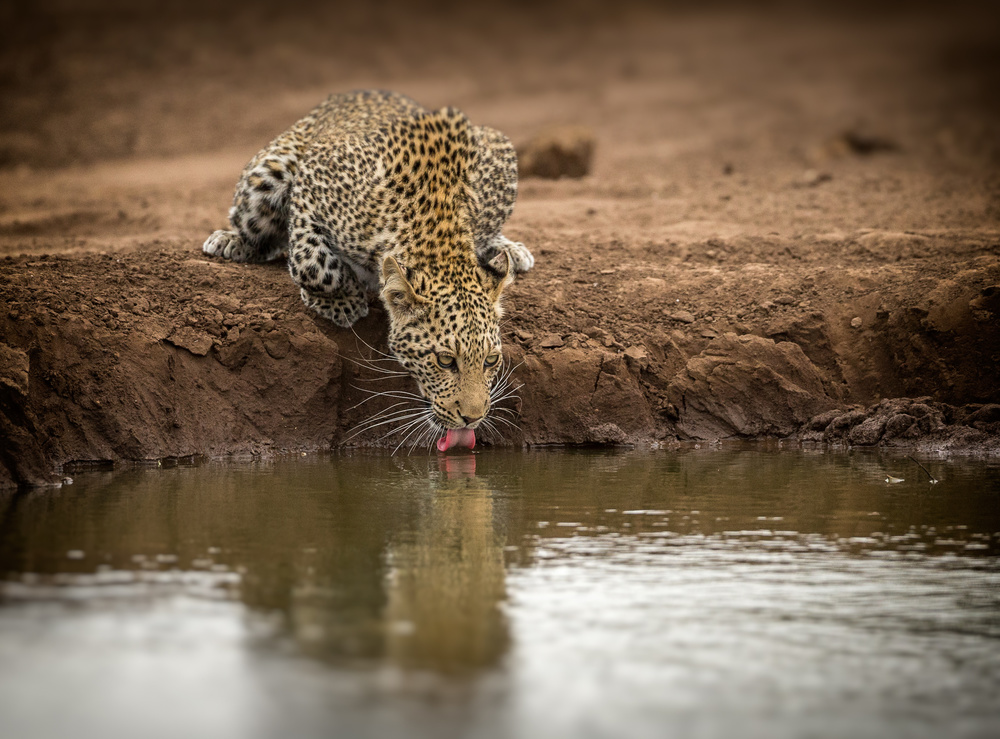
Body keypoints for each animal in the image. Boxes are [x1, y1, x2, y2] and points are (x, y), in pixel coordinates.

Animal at [199, 92, 536, 450]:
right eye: (445, 361)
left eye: (491, 360)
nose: (473, 418)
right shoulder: (313, 180)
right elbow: (311, 262)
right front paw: (342, 303)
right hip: (266, 174)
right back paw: (230, 241)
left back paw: (511, 251)